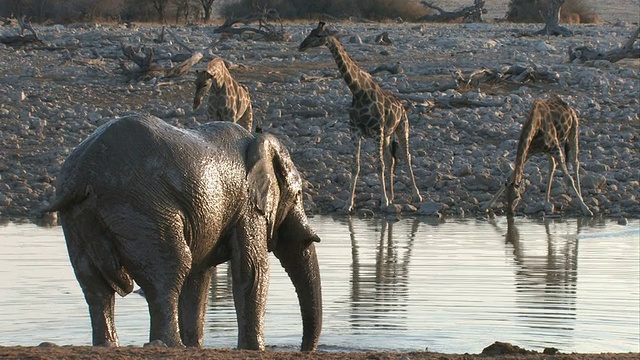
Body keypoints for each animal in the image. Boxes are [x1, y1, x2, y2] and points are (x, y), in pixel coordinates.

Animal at [41, 114, 320, 352]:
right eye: (297, 195)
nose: (304, 349)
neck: (257, 140)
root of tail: (84, 170)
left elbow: (199, 278)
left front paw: (196, 347)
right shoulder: (247, 206)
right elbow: (251, 270)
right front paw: (254, 350)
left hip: (75, 217)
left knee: (93, 284)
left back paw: (108, 345)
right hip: (142, 205)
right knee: (170, 269)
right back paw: (169, 345)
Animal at [298, 21, 422, 211]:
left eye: (319, 35)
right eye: (310, 32)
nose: (301, 46)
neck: (358, 91)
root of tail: (402, 106)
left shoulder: (376, 130)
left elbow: (379, 165)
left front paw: (384, 201)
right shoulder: (355, 131)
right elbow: (355, 166)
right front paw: (349, 204)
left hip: (402, 128)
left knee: (406, 157)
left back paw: (416, 195)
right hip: (387, 136)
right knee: (391, 160)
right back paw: (393, 196)